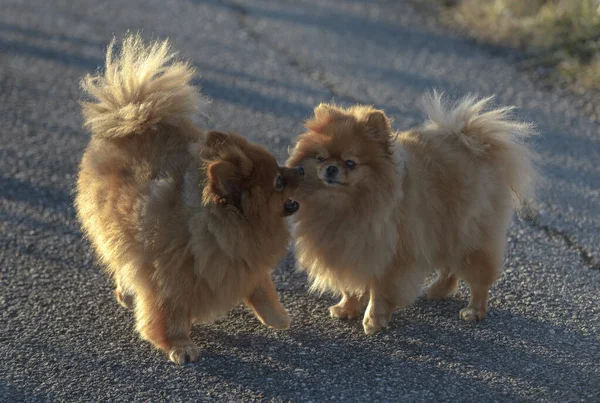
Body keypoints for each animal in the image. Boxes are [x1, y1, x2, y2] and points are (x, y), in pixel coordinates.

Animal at [76, 34, 304, 362]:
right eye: (278, 181)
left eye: (280, 167)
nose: (300, 168)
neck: (212, 231)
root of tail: (132, 116)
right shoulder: (167, 279)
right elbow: (166, 314)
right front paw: (178, 345)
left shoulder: (243, 263)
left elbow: (261, 290)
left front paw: (278, 317)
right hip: (112, 230)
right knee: (120, 259)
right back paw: (126, 291)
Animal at [286, 94, 540, 334]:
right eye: (320, 158)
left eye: (350, 163)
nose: (330, 168)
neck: (344, 206)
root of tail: (476, 142)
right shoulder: (349, 249)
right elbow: (351, 285)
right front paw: (347, 308)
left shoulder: (391, 256)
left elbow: (380, 292)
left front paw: (373, 320)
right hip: (445, 230)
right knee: (449, 268)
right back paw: (437, 291)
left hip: (470, 235)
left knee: (479, 279)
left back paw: (474, 310)